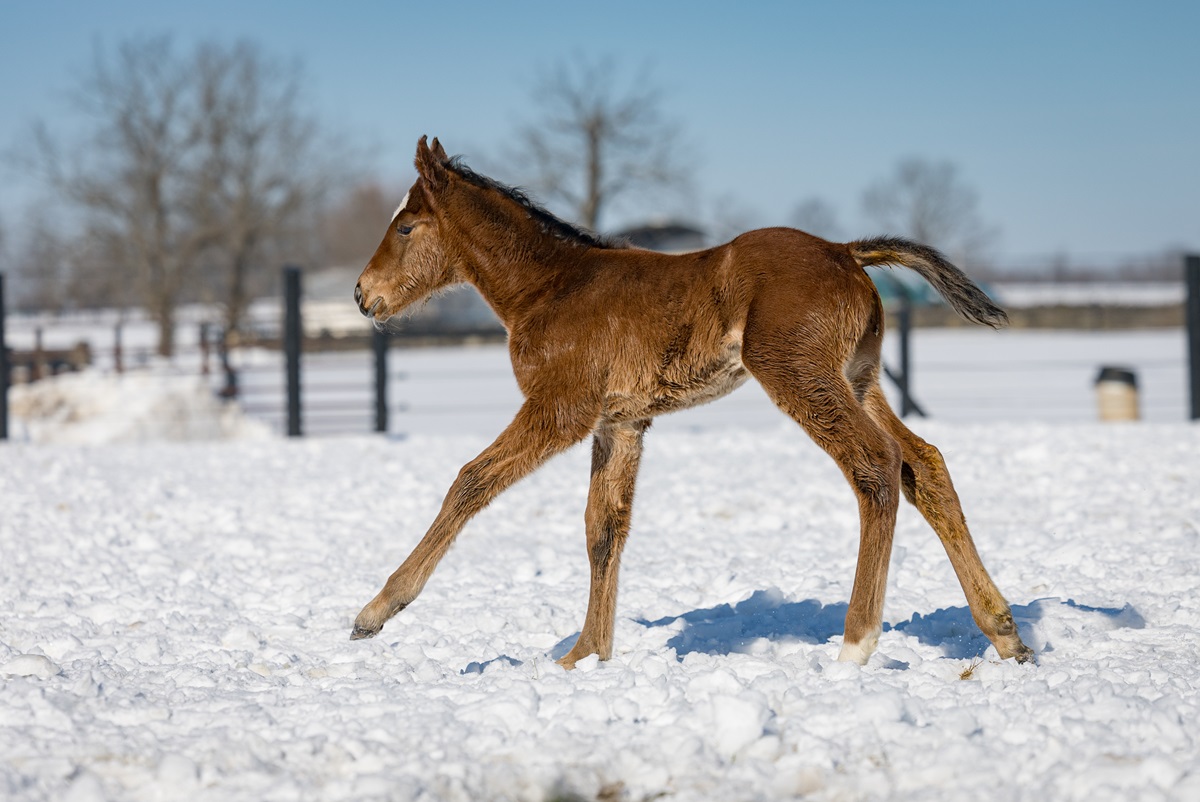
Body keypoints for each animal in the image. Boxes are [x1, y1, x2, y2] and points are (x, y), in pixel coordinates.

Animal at [348, 139, 1032, 672]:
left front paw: (376, 611)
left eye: (406, 227)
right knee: (924, 464)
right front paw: (584, 656)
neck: (547, 289)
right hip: (858, 379)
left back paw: (856, 644)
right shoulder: (622, 421)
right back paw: (1005, 633)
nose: (361, 294)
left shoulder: (560, 409)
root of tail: (845, 251)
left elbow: (470, 481)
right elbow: (604, 528)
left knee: (876, 464)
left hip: (800, 376)